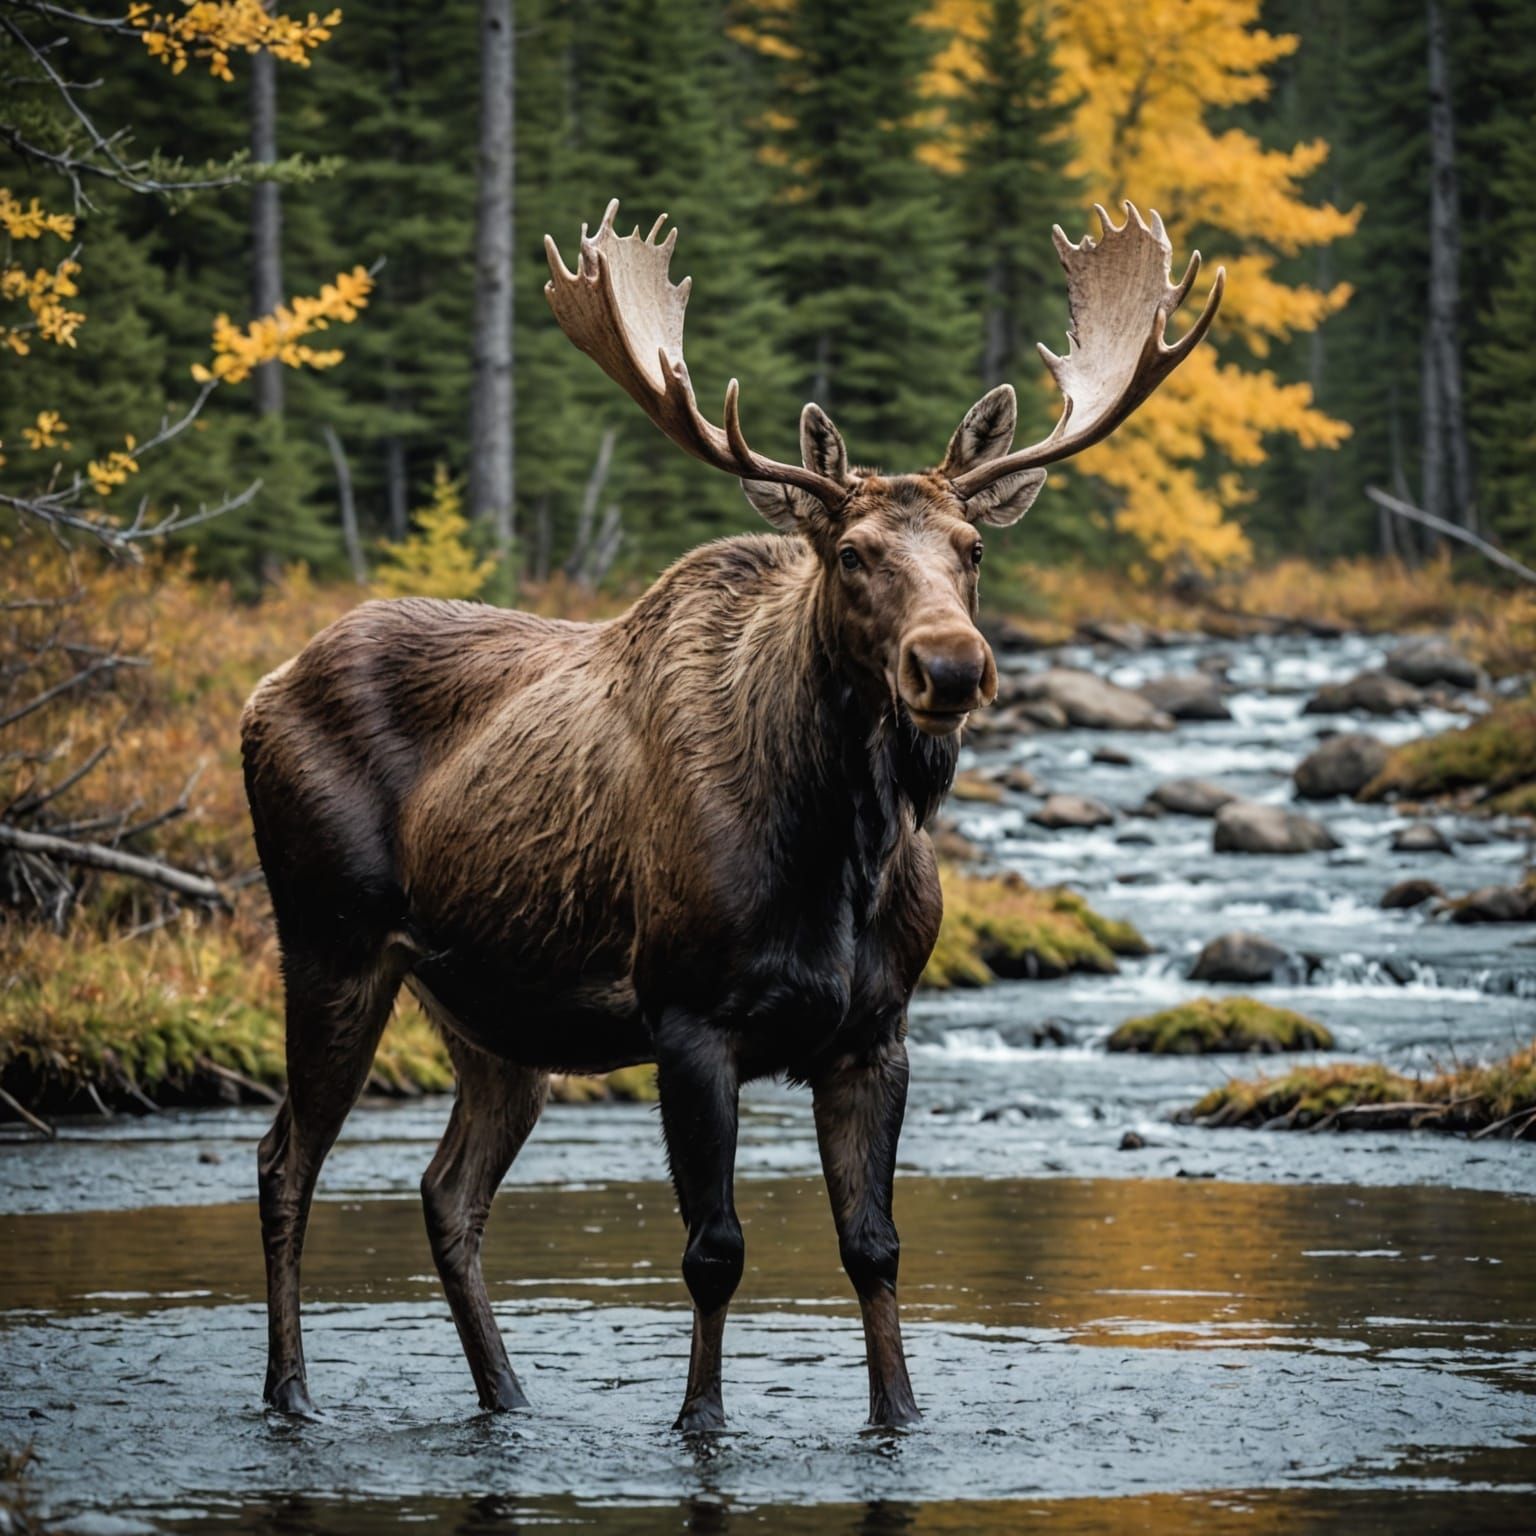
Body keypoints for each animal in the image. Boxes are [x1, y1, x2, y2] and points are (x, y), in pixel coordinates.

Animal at [242, 198, 1222, 1432]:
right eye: (850, 553)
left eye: (972, 549)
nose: (951, 666)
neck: (837, 851)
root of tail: (260, 691)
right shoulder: (687, 1016)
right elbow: (713, 1251)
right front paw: (698, 1420)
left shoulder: (875, 1032)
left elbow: (874, 1247)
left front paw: (898, 1416)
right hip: (331, 940)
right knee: (286, 1160)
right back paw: (290, 1392)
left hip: (491, 1014)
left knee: (445, 1190)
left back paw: (507, 1395)